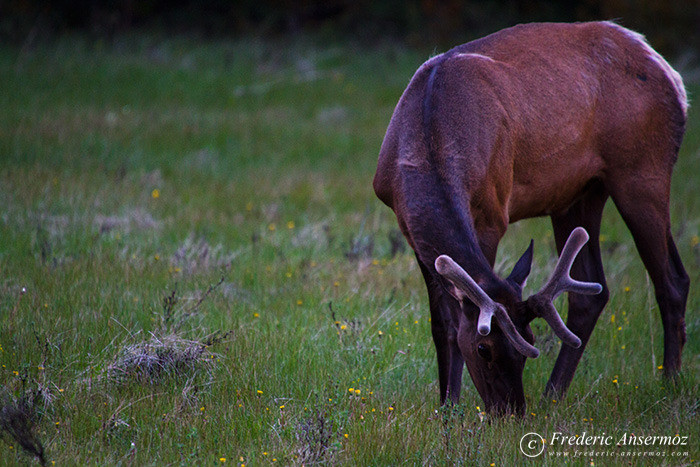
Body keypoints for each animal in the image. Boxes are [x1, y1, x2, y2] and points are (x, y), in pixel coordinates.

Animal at [374, 22, 688, 416]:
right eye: (484, 349)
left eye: (527, 346)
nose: (510, 412)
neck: (428, 134)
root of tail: (672, 77)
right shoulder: (409, 230)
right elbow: (442, 324)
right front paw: (447, 408)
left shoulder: (492, 213)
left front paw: (453, 409)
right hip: (580, 193)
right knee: (592, 292)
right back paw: (553, 395)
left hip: (643, 168)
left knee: (672, 280)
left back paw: (669, 384)